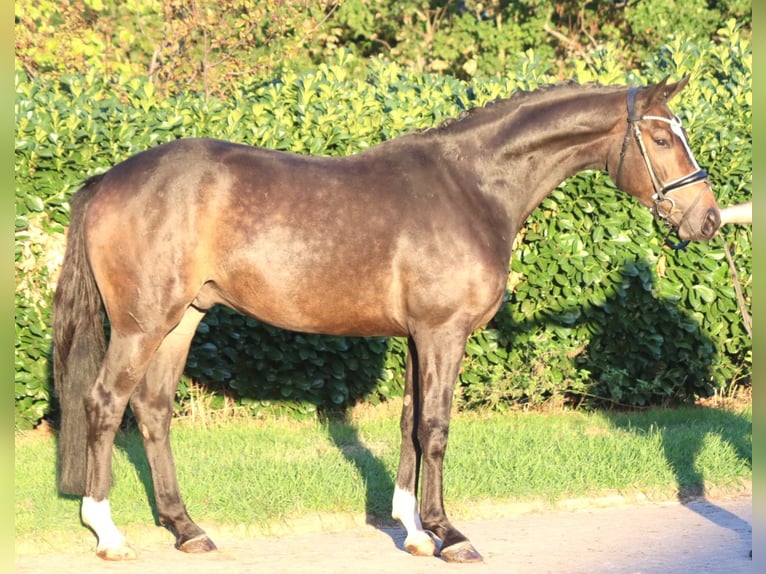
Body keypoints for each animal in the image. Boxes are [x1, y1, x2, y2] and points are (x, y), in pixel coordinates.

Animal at [53, 75, 720, 562]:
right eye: (664, 140)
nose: (708, 219)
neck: (471, 186)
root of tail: (107, 180)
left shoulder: (419, 337)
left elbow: (408, 424)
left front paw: (416, 531)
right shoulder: (444, 333)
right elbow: (437, 427)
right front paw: (451, 534)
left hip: (182, 319)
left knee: (153, 410)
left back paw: (186, 528)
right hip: (142, 324)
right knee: (105, 404)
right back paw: (108, 534)